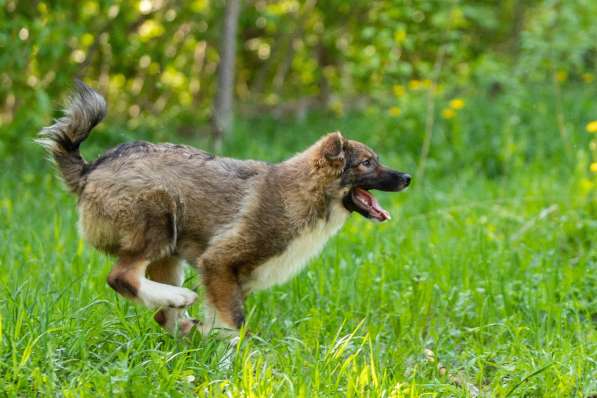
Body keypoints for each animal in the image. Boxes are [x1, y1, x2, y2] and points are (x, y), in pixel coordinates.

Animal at [37, 81, 410, 336]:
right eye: (367, 163)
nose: (407, 177)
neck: (307, 194)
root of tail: (90, 169)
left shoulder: (229, 280)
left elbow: (225, 320)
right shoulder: (218, 262)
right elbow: (234, 328)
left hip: (169, 253)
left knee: (161, 315)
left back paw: (179, 315)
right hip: (158, 216)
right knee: (122, 277)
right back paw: (178, 299)